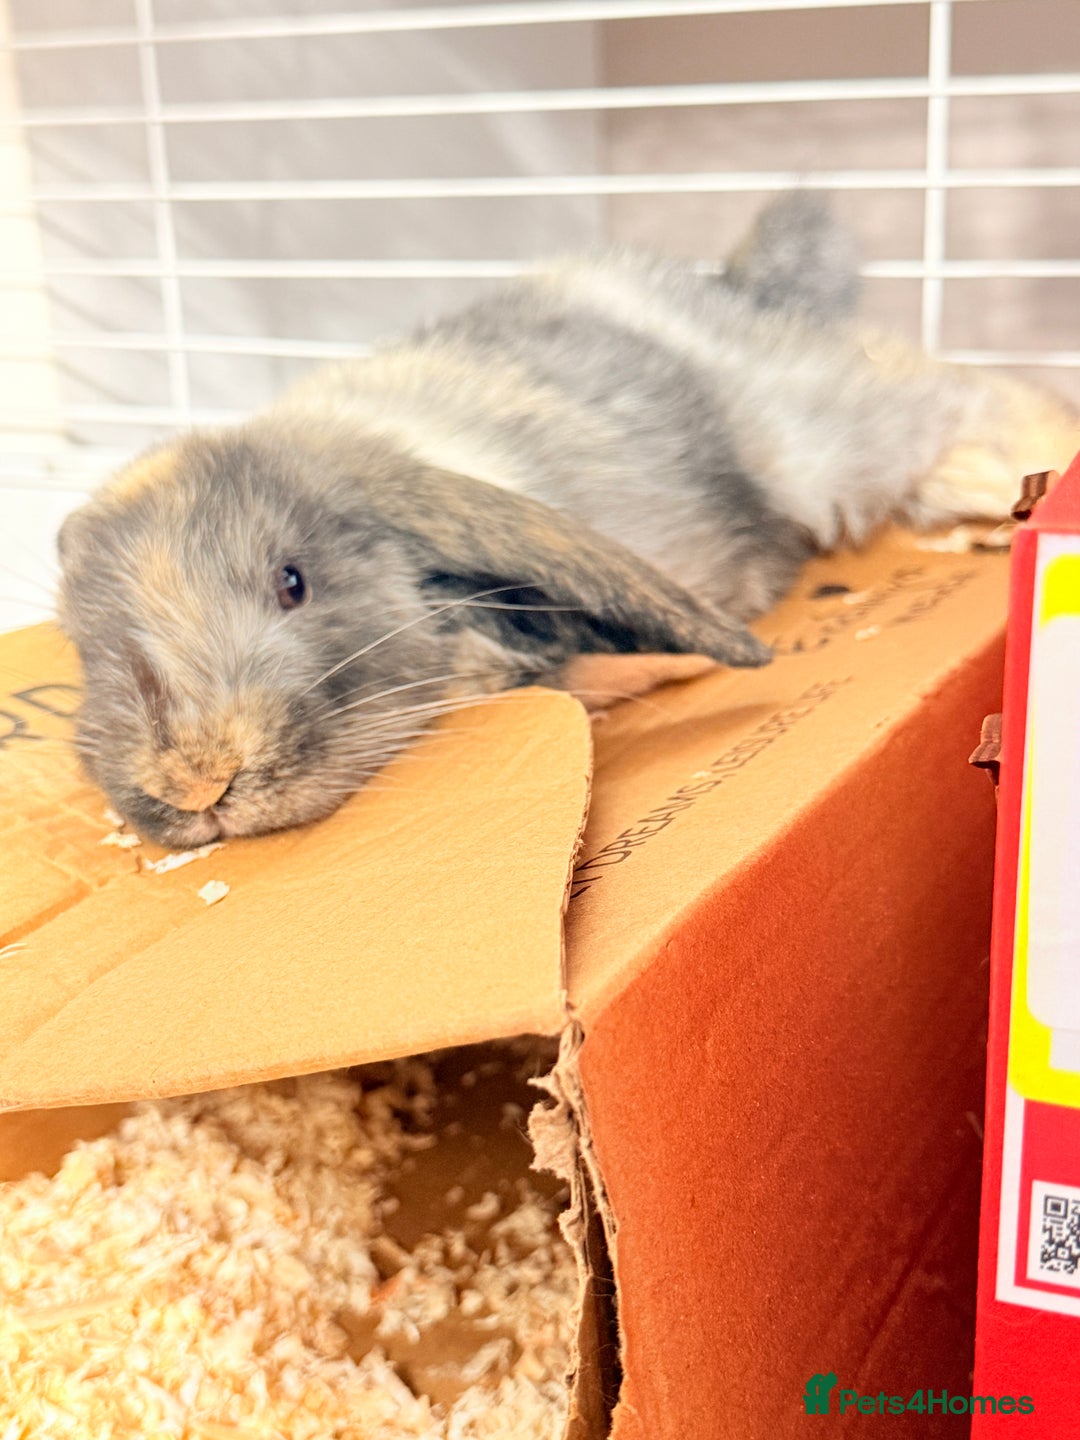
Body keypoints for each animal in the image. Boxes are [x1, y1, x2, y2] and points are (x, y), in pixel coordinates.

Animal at [56, 194, 1079, 847]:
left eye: (292, 581)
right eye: (87, 648)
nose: (194, 782)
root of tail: (729, 290)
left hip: (830, 431)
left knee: (957, 395)